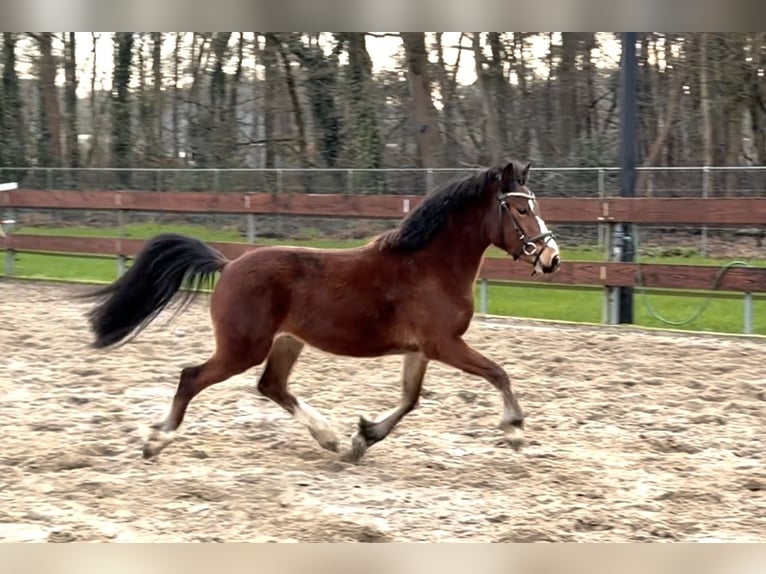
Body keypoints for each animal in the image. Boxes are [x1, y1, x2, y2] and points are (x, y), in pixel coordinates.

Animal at [81, 160, 561, 463]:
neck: (428, 266)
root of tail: (229, 264)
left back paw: (330, 440)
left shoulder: (421, 349)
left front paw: (362, 438)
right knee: (191, 377)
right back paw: (156, 442)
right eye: (521, 208)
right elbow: (498, 373)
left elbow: (409, 400)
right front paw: (515, 430)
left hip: (286, 343)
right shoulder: (444, 344)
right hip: (242, 348)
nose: (551, 258)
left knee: (271, 385)